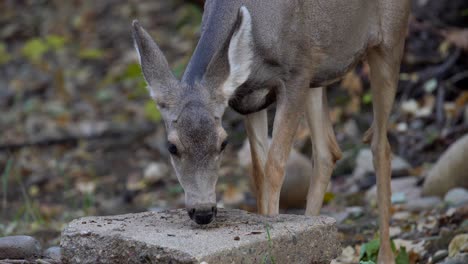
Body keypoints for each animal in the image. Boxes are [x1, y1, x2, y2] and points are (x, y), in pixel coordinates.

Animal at [132, 0, 410, 262]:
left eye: (223, 143)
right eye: (172, 146)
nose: (202, 212)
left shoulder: (296, 74)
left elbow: (275, 166)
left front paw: (274, 233)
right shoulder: (249, 99)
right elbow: (258, 171)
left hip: (390, 40)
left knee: (380, 147)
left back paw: (385, 256)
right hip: (318, 75)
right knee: (327, 150)